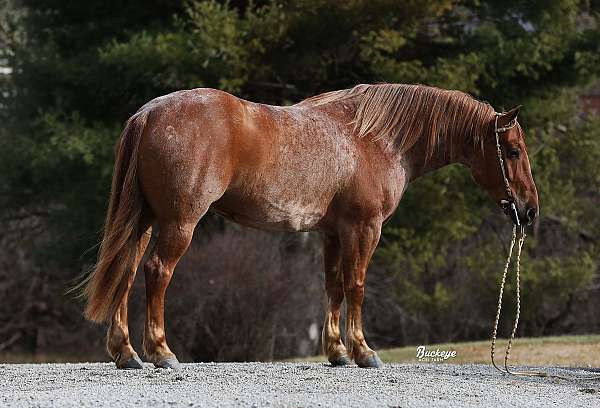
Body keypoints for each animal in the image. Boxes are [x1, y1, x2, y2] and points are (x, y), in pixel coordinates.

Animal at [81, 83, 540, 370]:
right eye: (513, 151)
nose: (529, 209)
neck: (373, 140)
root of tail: (148, 114)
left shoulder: (333, 233)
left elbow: (334, 286)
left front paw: (337, 352)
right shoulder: (364, 229)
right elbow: (356, 285)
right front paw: (363, 352)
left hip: (143, 222)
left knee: (124, 273)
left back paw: (126, 354)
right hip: (179, 223)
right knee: (157, 272)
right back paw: (160, 352)